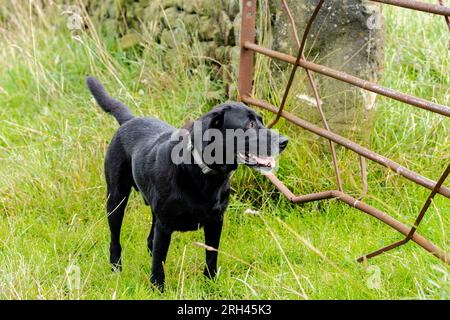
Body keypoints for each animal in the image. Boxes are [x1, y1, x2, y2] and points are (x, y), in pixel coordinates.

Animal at [86, 77, 288, 290]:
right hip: (116, 198)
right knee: (115, 238)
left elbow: (211, 255)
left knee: (150, 239)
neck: (202, 175)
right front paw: (157, 288)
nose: (285, 141)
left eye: (261, 120)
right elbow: (159, 262)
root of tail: (130, 120)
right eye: (249, 124)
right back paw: (116, 268)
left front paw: (210, 283)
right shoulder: (165, 225)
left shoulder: (216, 220)